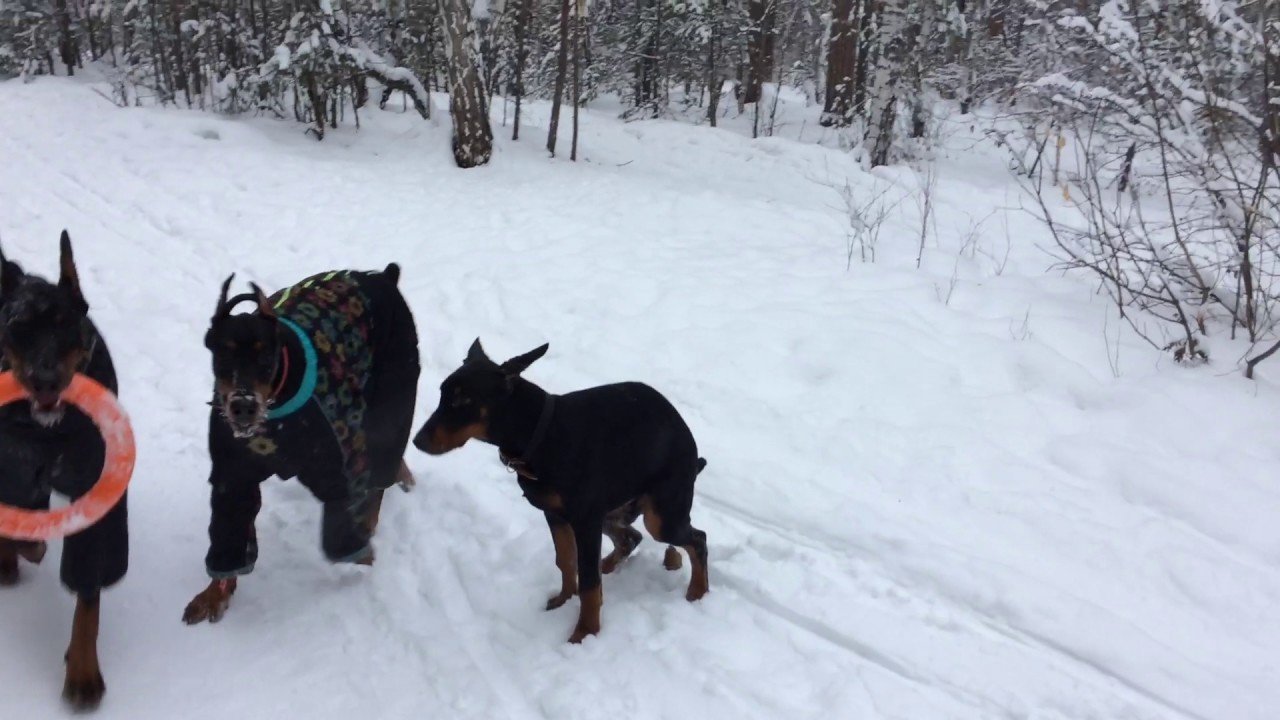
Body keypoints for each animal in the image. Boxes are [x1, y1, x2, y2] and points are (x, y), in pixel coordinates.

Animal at [0, 230, 126, 707]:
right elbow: (19, 531)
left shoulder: (96, 490)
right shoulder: (12, 465)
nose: (45, 379)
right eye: (18, 327)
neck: (48, 432)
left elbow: (88, 596)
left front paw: (84, 672)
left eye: (65, 326)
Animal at [184, 263, 419, 622]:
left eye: (266, 357)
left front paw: (363, 560)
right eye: (223, 355)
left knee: (381, 469)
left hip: (394, 393)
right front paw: (214, 595)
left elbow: (342, 533)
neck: (275, 414)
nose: (243, 404)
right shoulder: (232, 477)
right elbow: (229, 531)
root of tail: (383, 276)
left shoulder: (337, 467)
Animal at [414, 338, 706, 640]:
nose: (417, 441)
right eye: (442, 395)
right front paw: (564, 600)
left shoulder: (585, 521)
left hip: (659, 517)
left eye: (463, 400)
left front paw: (585, 633)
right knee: (630, 537)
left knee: (697, 539)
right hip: (612, 512)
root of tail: (684, 431)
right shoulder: (556, 515)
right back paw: (609, 565)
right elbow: (566, 561)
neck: (539, 434)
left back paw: (697, 592)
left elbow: (588, 584)